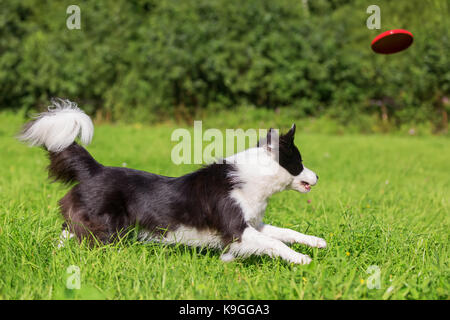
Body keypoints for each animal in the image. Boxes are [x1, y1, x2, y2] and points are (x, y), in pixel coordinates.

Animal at [19, 100, 326, 264]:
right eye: (299, 163)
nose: (318, 176)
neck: (254, 178)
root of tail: (95, 169)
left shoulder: (252, 223)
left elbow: (285, 232)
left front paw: (316, 242)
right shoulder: (236, 227)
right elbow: (274, 243)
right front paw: (301, 259)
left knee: (66, 231)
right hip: (105, 224)